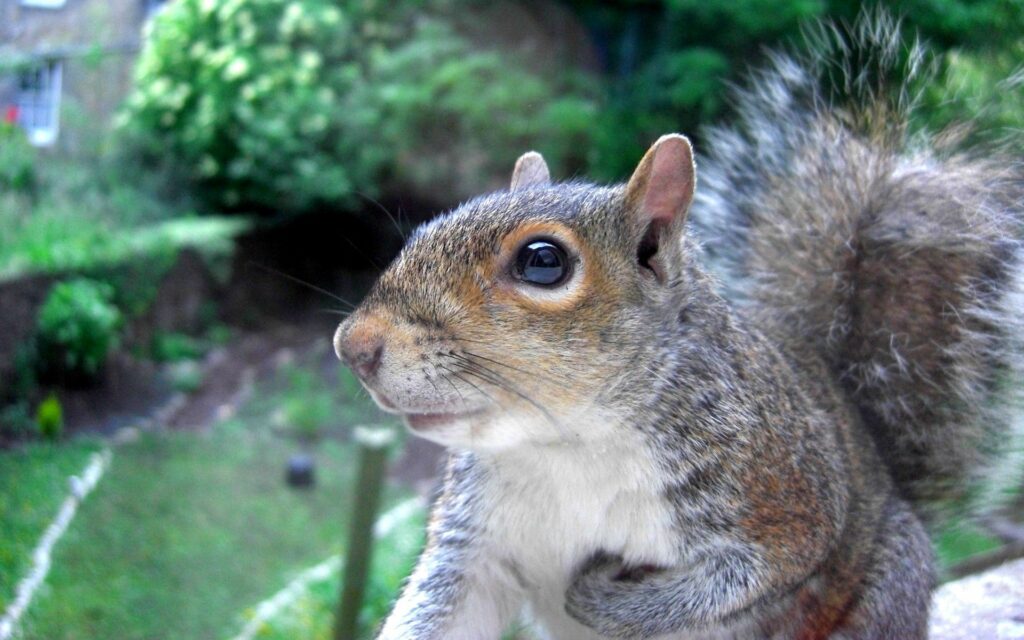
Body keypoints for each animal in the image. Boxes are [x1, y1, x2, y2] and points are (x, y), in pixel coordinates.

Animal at [333, 12, 1024, 640]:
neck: (567, 444)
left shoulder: (784, 501)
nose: (353, 347)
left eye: (543, 261)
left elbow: (752, 573)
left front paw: (608, 600)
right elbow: (442, 608)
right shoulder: (477, 545)